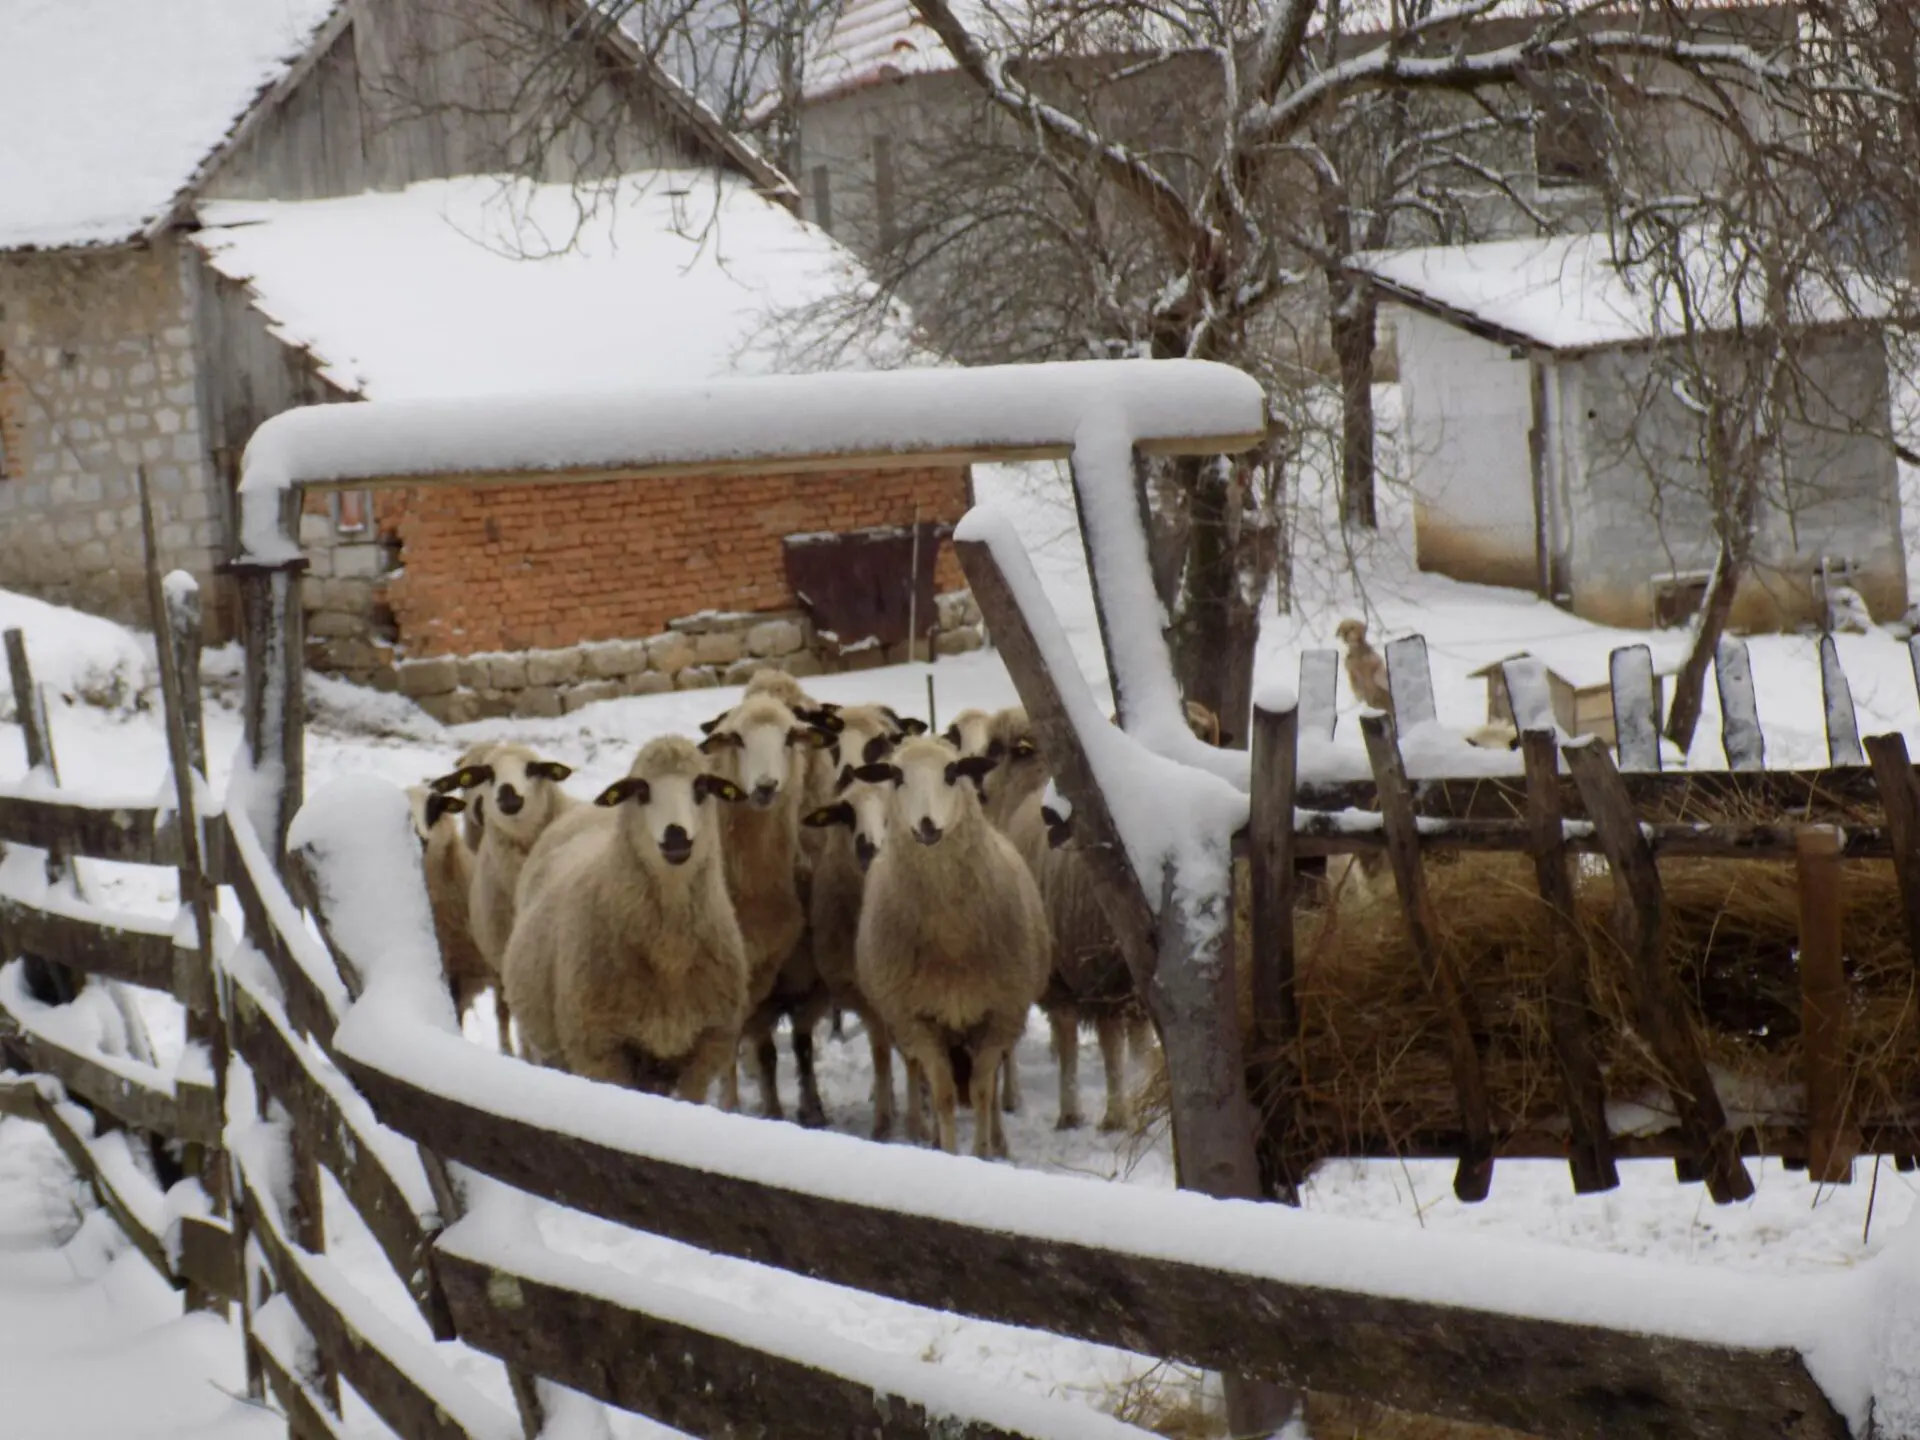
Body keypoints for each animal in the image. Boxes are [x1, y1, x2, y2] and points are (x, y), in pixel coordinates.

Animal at [503, 737, 748, 1098]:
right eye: (641, 790)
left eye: (701, 787)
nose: (676, 835)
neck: (670, 955)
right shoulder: (600, 1050)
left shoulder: (707, 1046)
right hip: (556, 1050)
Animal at [702, 687, 829, 1113]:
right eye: (738, 739)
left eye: (790, 737)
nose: (766, 786)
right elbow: (759, 1051)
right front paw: (744, 1106)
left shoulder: (788, 975)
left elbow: (793, 1047)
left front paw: (805, 1108)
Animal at [852, 737, 1044, 1159]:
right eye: (896, 776)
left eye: (952, 773)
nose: (926, 825)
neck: (951, 939)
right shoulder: (918, 1019)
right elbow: (943, 1095)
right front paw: (950, 1154)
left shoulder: (997, 1013)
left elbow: (983, 1090)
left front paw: (983, 1154)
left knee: (993, 1085)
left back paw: (1000, 1141)